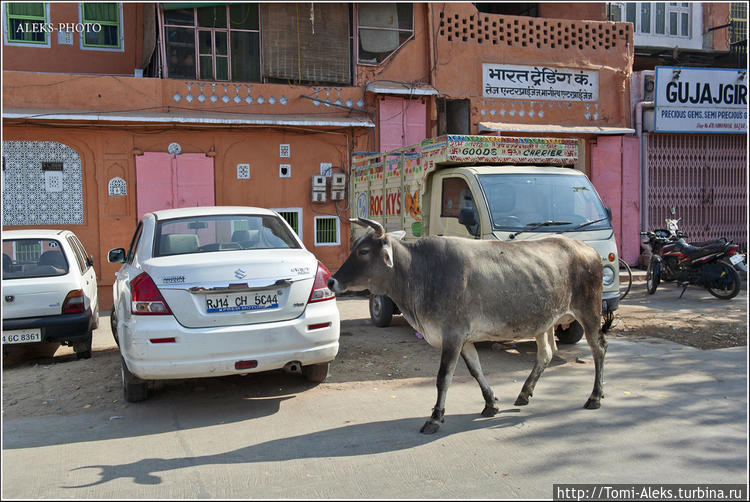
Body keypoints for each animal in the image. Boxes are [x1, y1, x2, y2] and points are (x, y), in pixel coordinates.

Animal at [328, 218, 612, 434]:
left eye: (364, 251)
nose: (331, 281)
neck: (420, 272)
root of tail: (588, 249)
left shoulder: (452, 336)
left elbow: (443, 378)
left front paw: (435, 417)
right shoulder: (464, 339)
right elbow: (476, 370)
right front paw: (491, 404)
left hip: (589, 311)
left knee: (599, 348)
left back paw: (595, 397)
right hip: (545, 322)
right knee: (546, 354)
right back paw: (524, 393)